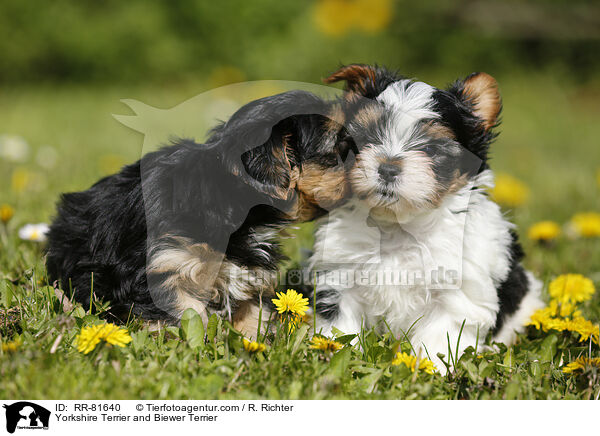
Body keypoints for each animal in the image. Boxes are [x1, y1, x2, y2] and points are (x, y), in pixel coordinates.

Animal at [47, 90, 350, 336]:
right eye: (337, 145)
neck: (225, 198)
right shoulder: (162, 265)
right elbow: (187, 312)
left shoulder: (249, 271)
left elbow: (252, 311)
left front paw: (252, 343)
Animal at [310, 64, 544, 370]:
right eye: (367, 138)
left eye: (431, 150)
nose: (387, 168)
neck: (397, 225)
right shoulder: (341, 275)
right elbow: (341, 323)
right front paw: (333, 354)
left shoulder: (455, 290)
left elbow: (442, 333)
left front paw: (432, 367)